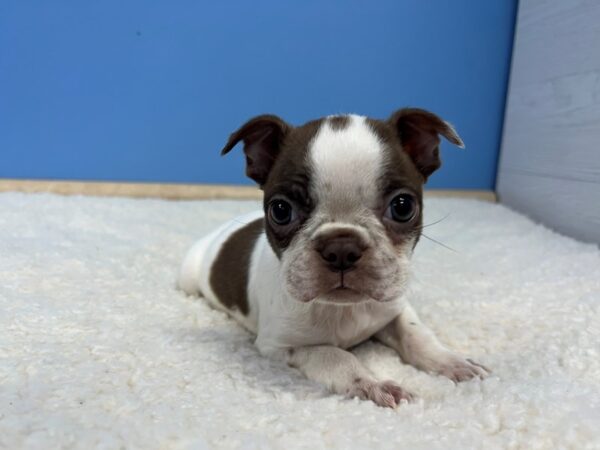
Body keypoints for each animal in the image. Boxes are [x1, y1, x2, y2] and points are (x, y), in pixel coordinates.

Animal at [178, 109, 488, 408]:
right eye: (280, 210)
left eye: (403, 206)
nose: (341, 247)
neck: (344, 309)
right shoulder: (279, 346)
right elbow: (335, 356)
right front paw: (373, 385)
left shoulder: (395, 307)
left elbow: (417, 334)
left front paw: (452, 362)